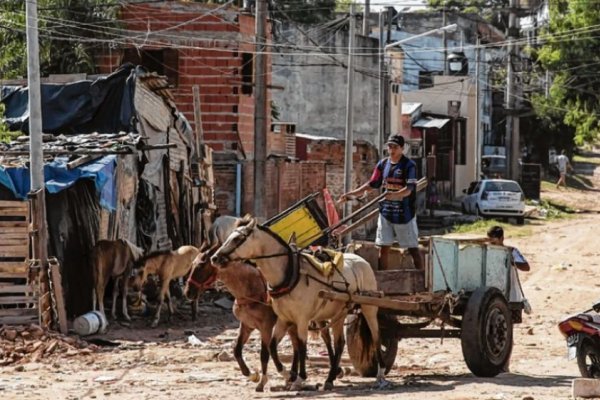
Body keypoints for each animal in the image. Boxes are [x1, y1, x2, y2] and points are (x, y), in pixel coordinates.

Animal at [212, 216, 390, 390]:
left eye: (237, 238)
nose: (215, 258)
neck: (290, 275)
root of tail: (361, 260)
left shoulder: (301, 319)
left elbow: (301, 346)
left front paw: (299, 378)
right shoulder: (284, 319)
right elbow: (273, 347)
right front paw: (287, 374)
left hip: (369, 307)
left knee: (375, 336)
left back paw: (380, 374)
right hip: (338, 313)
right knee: (338, 343)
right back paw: (330, 378)